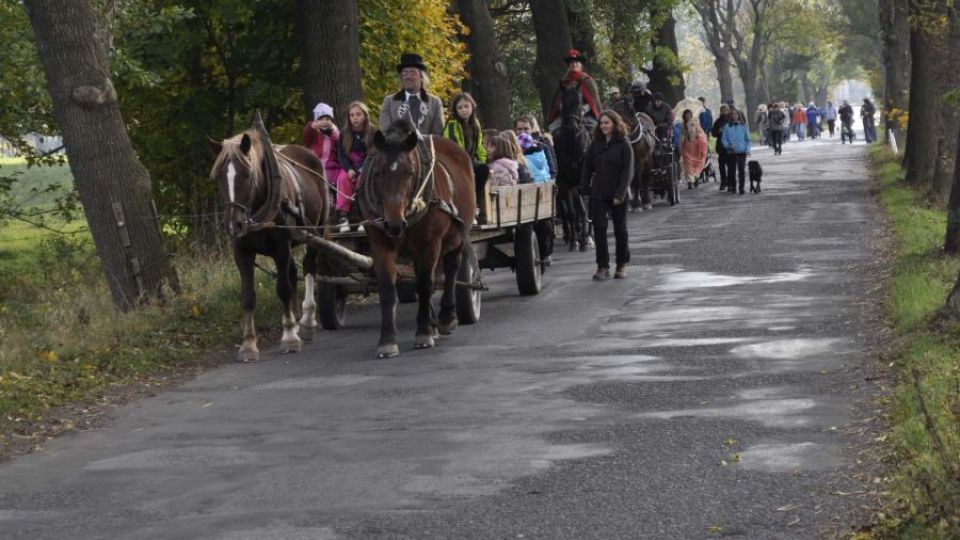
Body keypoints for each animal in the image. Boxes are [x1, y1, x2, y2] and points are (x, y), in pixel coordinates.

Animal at [206, 113, 330, 362]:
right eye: (220, 177)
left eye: (247, 175)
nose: (233, 224)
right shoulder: (242, 252)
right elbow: (248, 296)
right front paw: (248, 344)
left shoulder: (281, 247)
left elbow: (283, 289)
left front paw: (290, 337)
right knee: (292, 273)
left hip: (316, 230)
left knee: (309, 267)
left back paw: (306, 321)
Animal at [360, 120, 476, 360]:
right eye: (378, 172)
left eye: (410, 172)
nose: (394, 224)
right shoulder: (380, 243)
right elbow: (388, 288)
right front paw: (387, 341)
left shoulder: (429, 244)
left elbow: (424, 284)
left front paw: (423, 333)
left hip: (457, 237)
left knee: (450, 271)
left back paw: (446, 318)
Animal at [548, 86, 592, 251]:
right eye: (563, 104)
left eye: (579, 103)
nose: (572, 127)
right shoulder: (566, 184)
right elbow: (572, 213)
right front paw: (574, 241)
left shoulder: (581, 183)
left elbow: (584, 210)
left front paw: (585, 240)